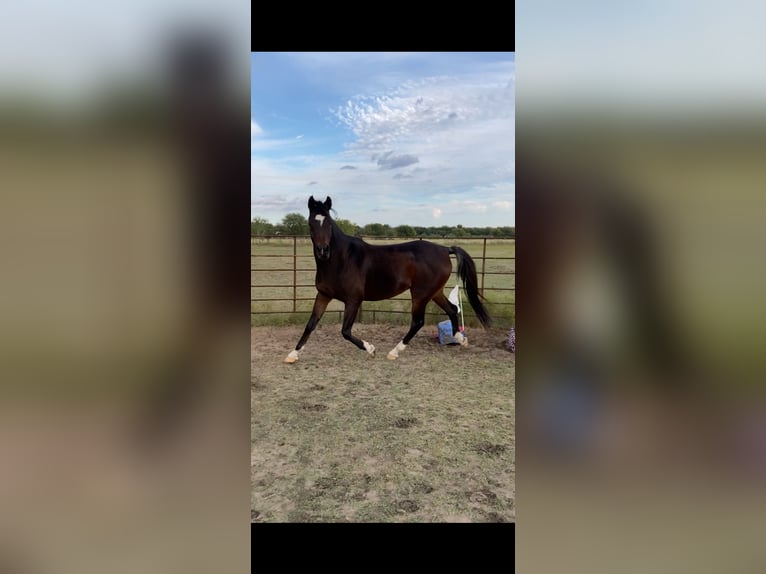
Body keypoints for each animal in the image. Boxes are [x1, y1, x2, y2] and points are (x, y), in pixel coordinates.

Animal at [284, 196, 492, 362]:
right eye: (311, 223)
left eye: (328, 223)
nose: (323, 251)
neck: (341, 260)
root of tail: (444, 249)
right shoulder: (323, 295)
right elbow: (311, 324)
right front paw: (293, 355)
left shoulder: (353, 300)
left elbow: (345, 331)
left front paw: (371, 349)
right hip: (434, 292)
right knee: (452, 309)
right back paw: (460, 339)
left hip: (420, 295)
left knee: (418, 322)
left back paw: (394, 351)